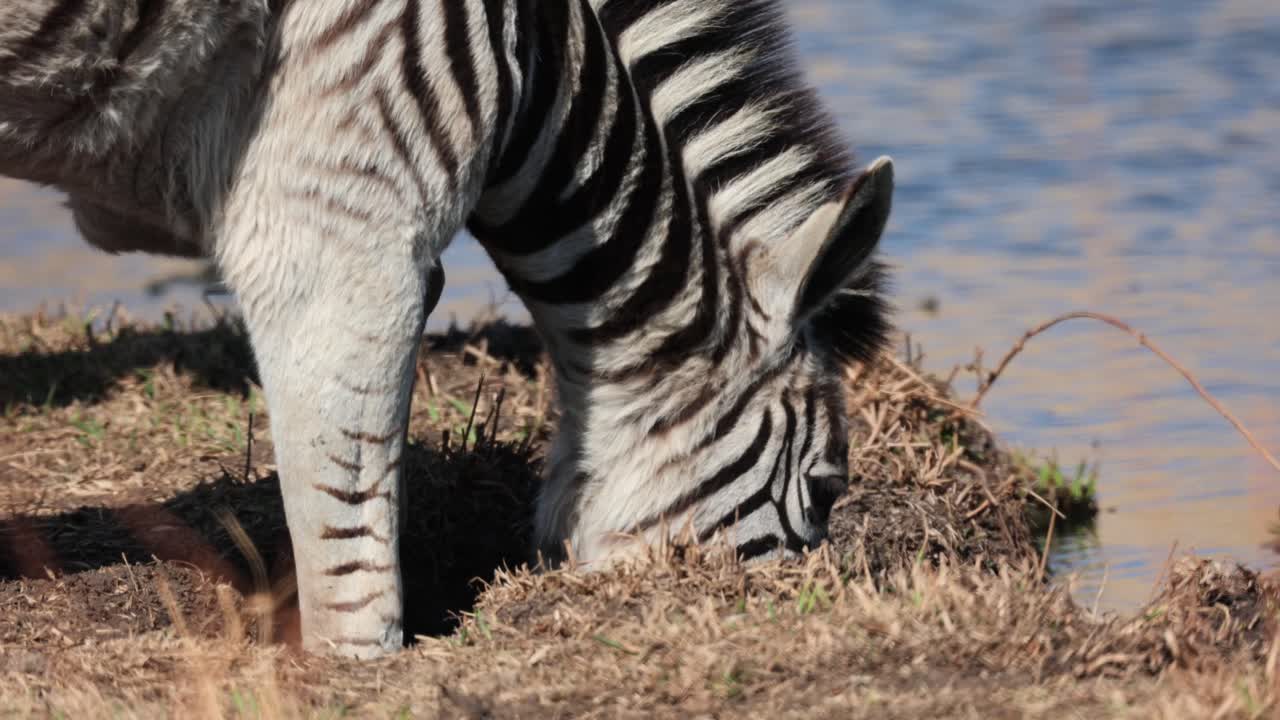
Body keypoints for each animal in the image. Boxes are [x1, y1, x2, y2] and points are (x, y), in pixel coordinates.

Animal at [0, 0, 893, 657]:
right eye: (826, 487)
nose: (816, 610)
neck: (540, 65)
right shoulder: (345, 212)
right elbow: (350, 534)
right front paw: (357, 673)